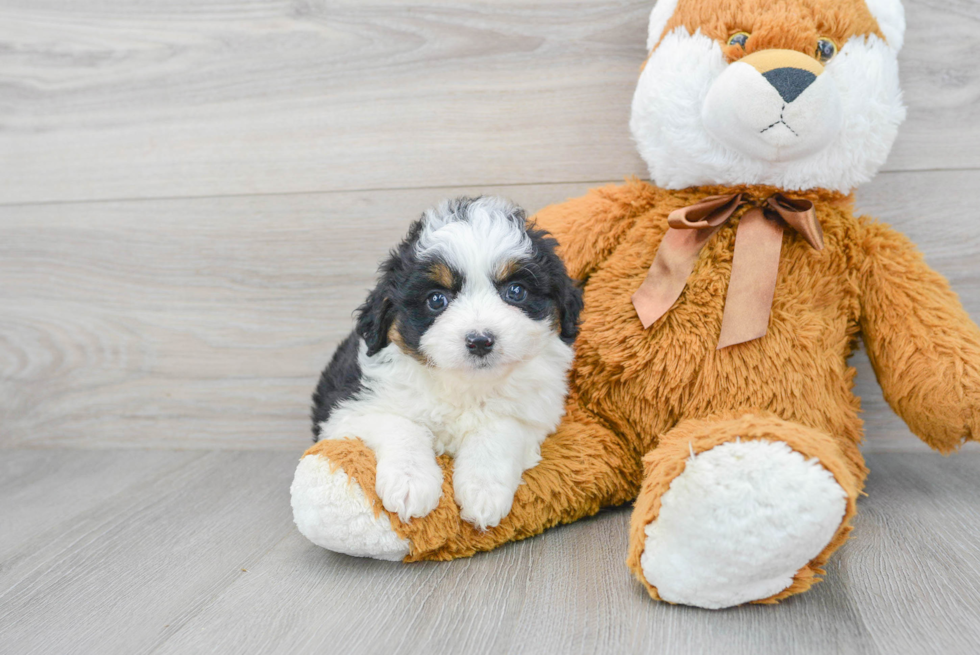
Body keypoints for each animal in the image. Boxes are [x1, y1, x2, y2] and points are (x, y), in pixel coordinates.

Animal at [312, 197, 580, 532]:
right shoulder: (348, 410)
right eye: (436, 299)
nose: (480, 341)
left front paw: (484, 490)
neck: (463, 384)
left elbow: (498, 430)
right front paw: (410, 482)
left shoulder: (534, 414)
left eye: (516, 291)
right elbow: (400, 424)